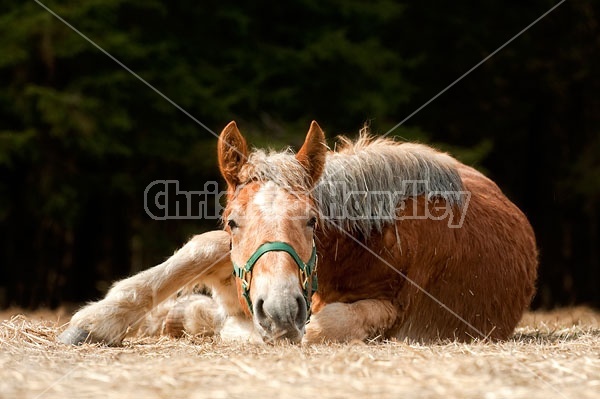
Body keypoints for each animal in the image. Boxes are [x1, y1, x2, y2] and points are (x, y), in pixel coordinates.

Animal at [59, 121, 540, 346]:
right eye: (233, 221)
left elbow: (320, 327)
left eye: (312, 221)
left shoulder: (395, 313)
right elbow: (200, 251)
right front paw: (94, 322)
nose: (279, 309)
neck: (368, 239)